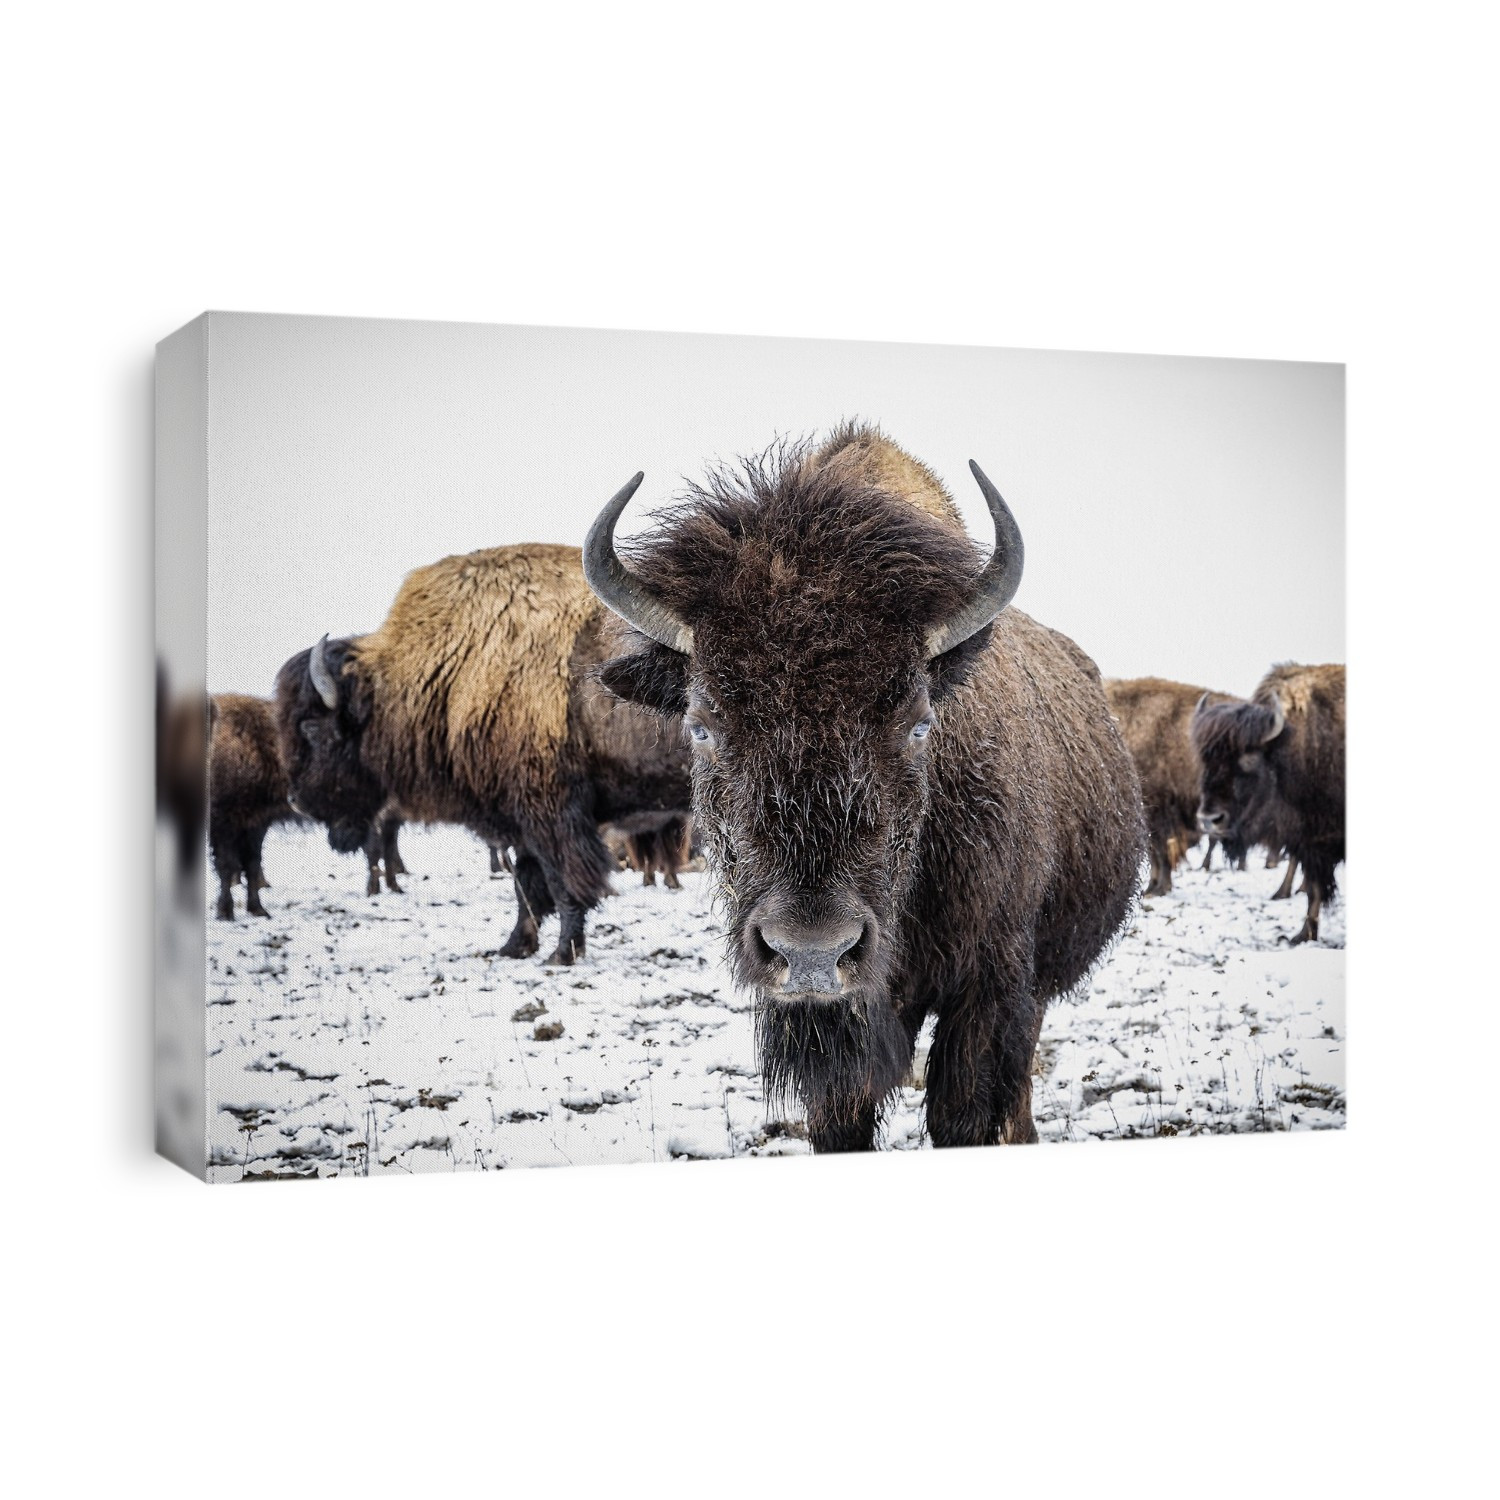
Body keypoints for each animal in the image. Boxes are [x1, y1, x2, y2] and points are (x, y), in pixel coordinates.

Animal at [275, 543, 693, 965]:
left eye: (311, 727)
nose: (295, 800)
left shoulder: (552, 815)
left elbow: (562, 884)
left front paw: (561, 953)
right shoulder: (521, 823)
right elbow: (527, 887)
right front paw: (514, 947)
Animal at [585, 424, 1145, 1152]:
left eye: (919, 721)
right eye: (701, 723)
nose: (813, 951)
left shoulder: (987, 985)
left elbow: (961, 1113)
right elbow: (841, 1117)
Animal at [1192, 662, 1345, 944]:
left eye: (1249, 757)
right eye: (1205, 759)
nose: (1210, 820)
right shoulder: (1308, 843)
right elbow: (1314, 890)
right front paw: (1302, 935)